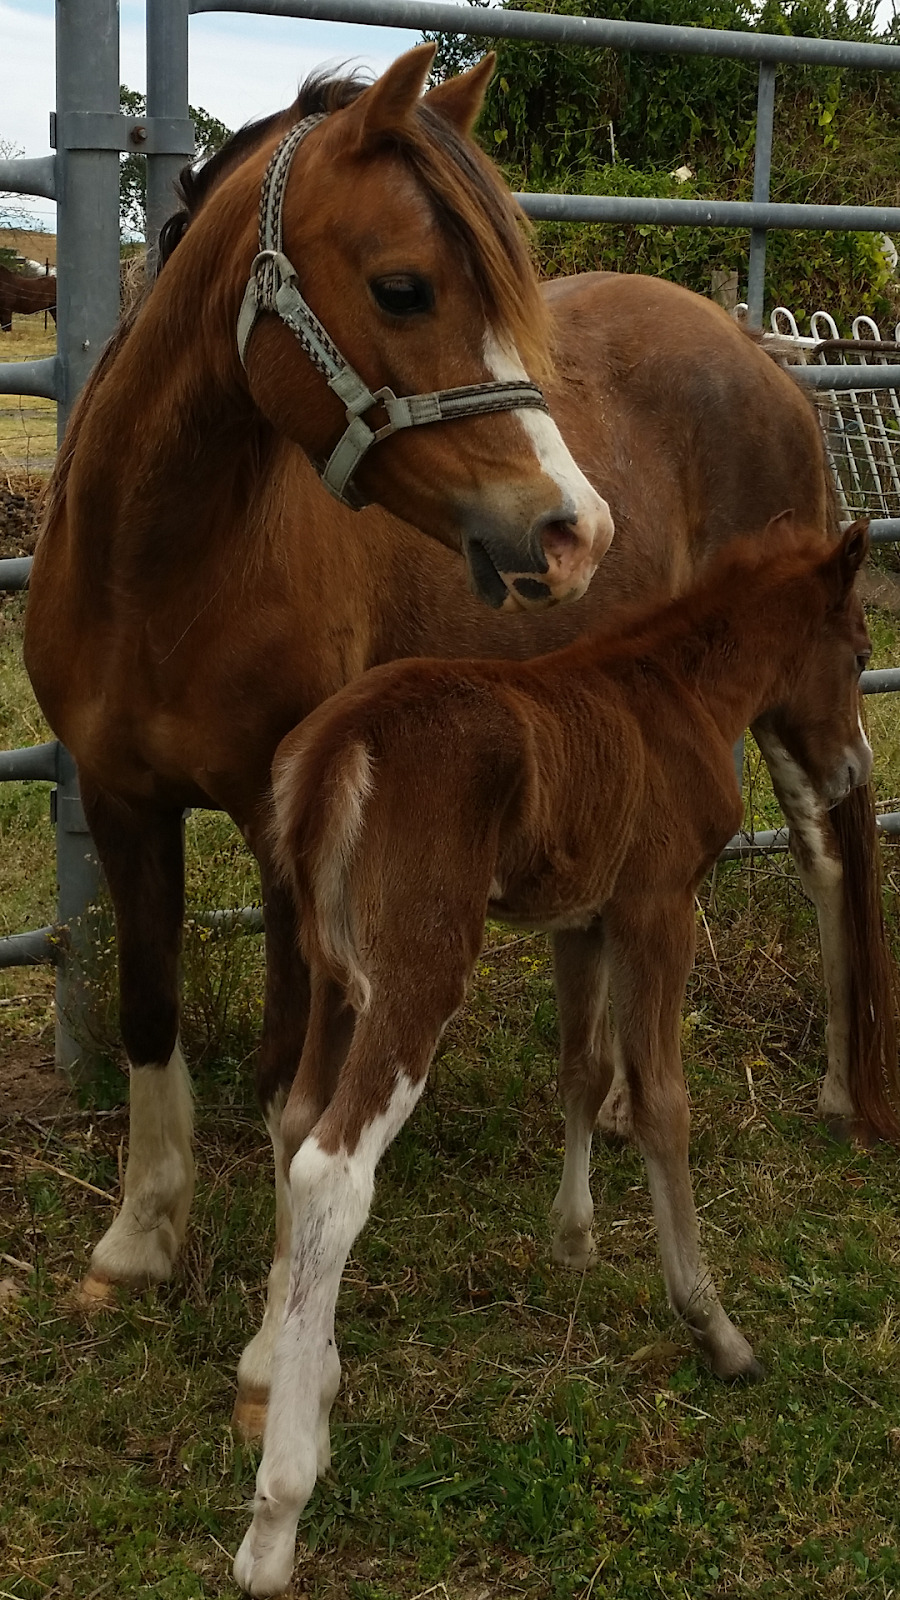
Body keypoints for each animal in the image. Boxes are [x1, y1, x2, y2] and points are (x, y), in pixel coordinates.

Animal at [21, 50, 896, 1452]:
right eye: (402, 286)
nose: (573, 527)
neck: (164, 561)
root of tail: (754, 350)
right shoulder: (118, 798)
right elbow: (154, 1011)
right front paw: (139, 1241)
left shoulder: (283, 839)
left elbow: (295, 1081)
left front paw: (273, 1354)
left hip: (800, 686)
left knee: (825, 844)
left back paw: (829, 1085)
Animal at [229, 518, 871, 1593]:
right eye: (863, 654)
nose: (858, 772)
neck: (678, 695)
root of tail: (335, 749)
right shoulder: (658, 905)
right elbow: (660, 1101)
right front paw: (716, 1329)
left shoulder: (583, 919)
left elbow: (583, 1069)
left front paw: (573, 1237)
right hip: (418, 969)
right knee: (335, 1165)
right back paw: (278, 1511)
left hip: (329, 973)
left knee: (294, 1122)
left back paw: (294, 1374)